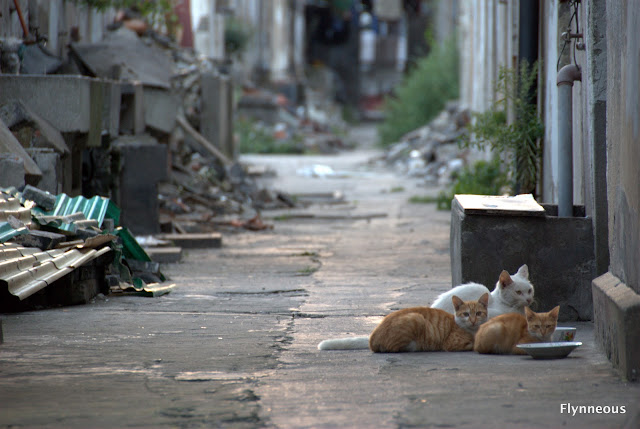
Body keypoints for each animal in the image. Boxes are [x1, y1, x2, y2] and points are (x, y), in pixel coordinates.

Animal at [317, 293, 489, 352]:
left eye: (478, 313)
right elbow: (472, 344)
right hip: (416, 318)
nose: (473, 320)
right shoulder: (452, 344)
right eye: (466, 314)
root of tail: (372, 337)